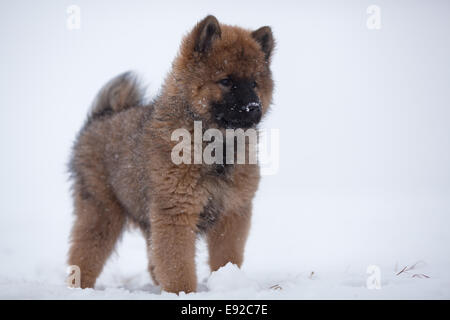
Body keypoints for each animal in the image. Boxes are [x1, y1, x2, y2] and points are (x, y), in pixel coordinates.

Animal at [67, 15, 274, 296]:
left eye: (254, 83)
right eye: (226, 81)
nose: (253, 107)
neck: (213, 146)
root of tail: (102, 116)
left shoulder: (232, 212)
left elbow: (226, 257)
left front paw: (228, 282)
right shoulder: (176, 212)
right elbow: (177, 265)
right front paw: (182, 293)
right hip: (101, 211)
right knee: (83, 253)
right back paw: (80, 288)